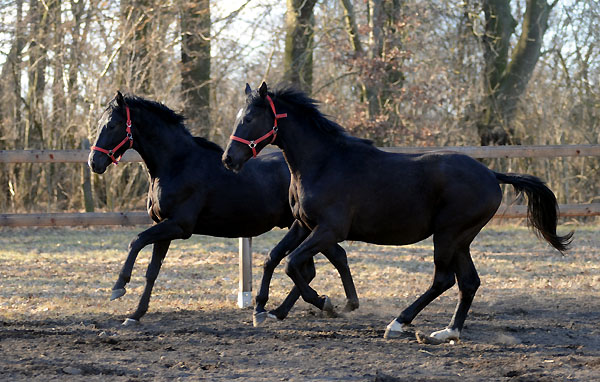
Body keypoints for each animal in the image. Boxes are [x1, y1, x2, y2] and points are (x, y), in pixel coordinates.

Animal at [87, 92, 358, 326]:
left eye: (112, 124)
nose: (94, 162)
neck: (175, 165)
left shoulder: (178, 226)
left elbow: (136, 241)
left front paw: (119, 287)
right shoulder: (163, 227)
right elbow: (152, 271)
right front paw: (135, 314)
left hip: (312, 227)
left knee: (330, 259)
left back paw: (325, 305)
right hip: (305, 228)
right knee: (314, 265)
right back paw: (289, 310)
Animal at [223, 82, 576, 342]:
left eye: (249, 118)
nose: (229, 159)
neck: (323, 163)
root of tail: (491, 174)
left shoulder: (329, 230)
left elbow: (293, 264)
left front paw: (329, 304)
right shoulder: (303, 225)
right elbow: (275, 259)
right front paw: (263, 310)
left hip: (448, 235)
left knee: (444, 280)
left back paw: (399, 323)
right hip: (461, 239)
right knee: (469, 282)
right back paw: (448, 332)